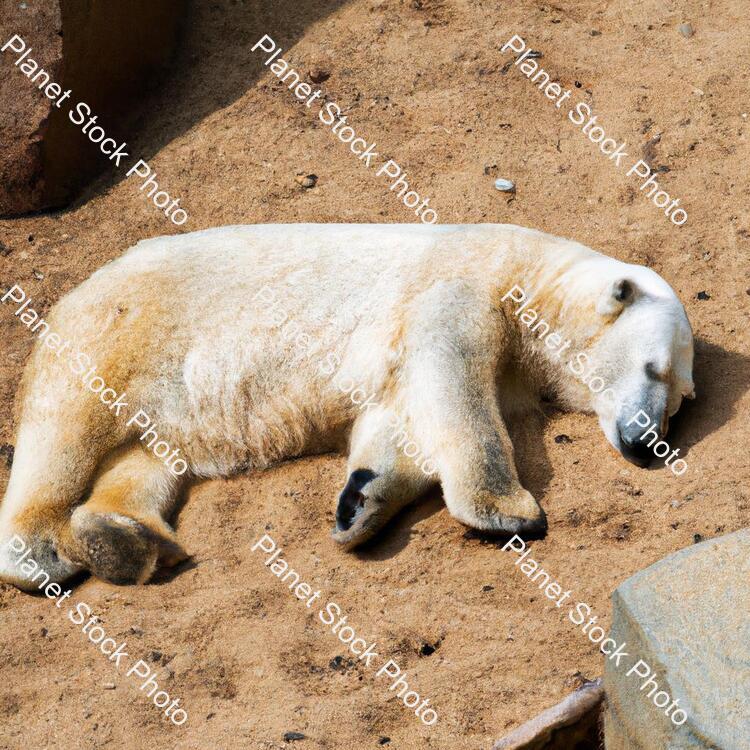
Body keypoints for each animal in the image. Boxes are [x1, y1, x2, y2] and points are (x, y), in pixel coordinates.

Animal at [0, 226, 696, 592]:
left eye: (681, 403)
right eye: (654, 369)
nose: (646, 444)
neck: (528, 275)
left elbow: (395, 419)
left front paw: (359, 502)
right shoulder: (460, 290)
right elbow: (451, 381)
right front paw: (508, 510)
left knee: (145, 460)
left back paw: (124, 541)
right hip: (119, 333)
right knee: (64, 434)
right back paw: (41, 553)